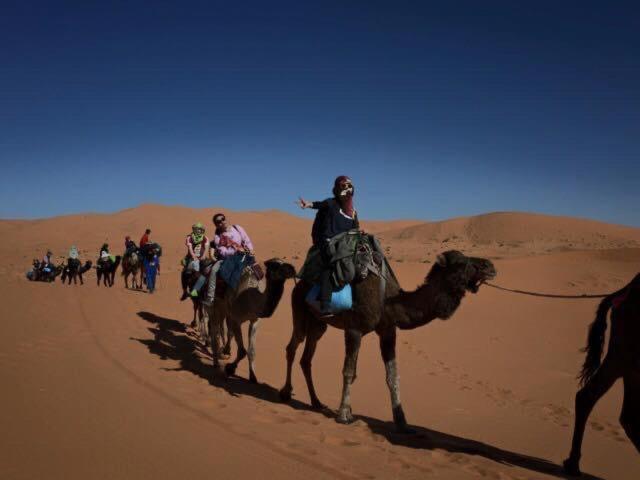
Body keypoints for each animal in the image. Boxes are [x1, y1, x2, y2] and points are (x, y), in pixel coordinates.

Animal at [278, 251, 496, 432]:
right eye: (461, 263)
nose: (490, 266)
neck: (388, 302)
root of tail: (299, 283)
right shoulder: (354, 329)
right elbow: (349, 372)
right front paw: (344, 414)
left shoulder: (388, 331)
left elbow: (392, 376)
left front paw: (402, 422)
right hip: (299, 311)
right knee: (292, 347)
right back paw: (286, 393)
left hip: (319, 324)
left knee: (306, 358)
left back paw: (316, 402)